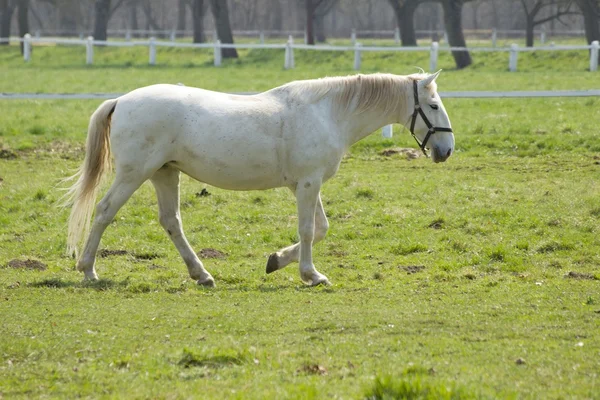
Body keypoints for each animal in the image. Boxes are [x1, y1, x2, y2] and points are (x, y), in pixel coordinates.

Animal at [64, 70, 454, 286]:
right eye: (433, 106)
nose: (447, 150)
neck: (328, 113)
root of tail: (121, 100)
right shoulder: (308, 184)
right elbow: (309, 230)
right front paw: (312, 275)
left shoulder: (306, 184)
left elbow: (321, 228)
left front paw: (276, 260)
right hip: (134, 174)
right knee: (104, 211)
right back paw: (88, 270)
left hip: (165, 173)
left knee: (171, 221)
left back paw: (201, 274)